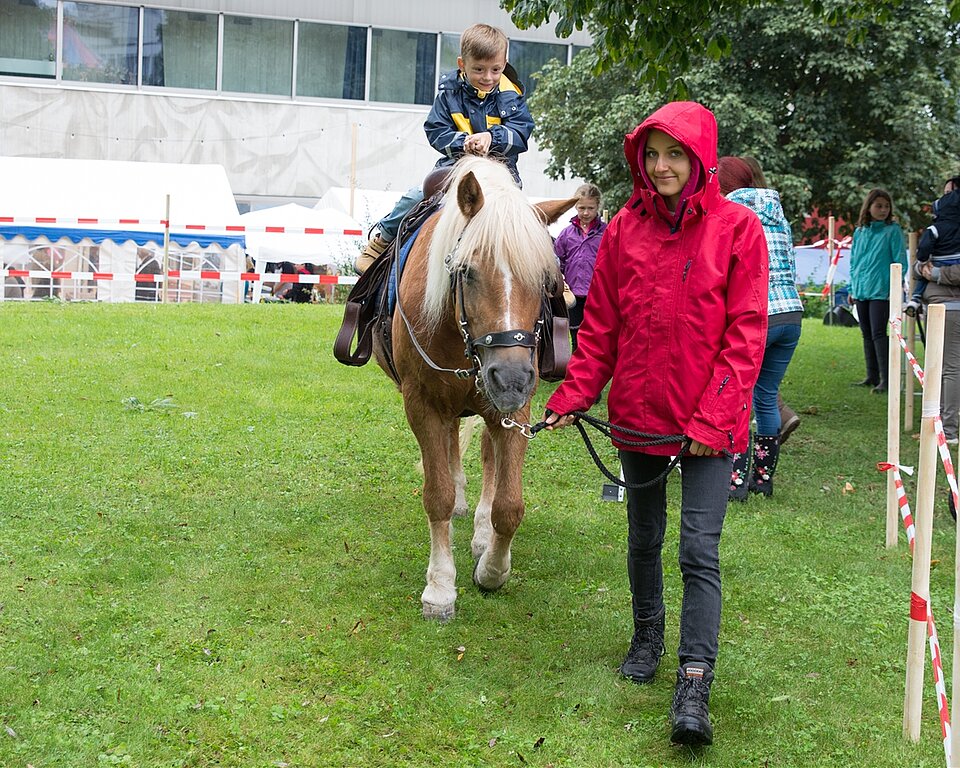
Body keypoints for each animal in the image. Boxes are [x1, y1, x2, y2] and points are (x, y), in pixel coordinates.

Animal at [374, 154, 568, 616]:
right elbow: (437, 494)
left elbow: (509, 503)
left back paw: (480, 532)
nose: (511, 378)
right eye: (467, 271)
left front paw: (493, 569)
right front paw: (440, 585)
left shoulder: (514, 411)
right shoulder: (421, 403)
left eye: (545, 280)